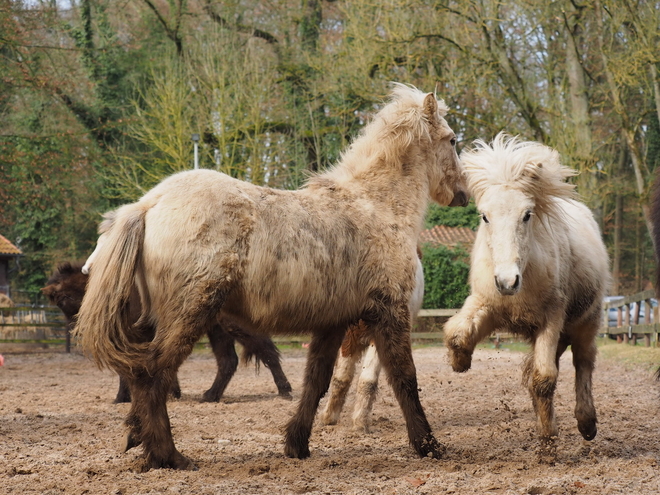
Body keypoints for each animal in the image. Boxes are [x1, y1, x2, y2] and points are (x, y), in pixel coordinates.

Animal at [41, 262, 288, 404]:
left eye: (64, 298)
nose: (78, 327)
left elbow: (129, 368)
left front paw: (123, 397)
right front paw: (172, 392)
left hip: (237, 327)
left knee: (266, 351)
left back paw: (285, 390)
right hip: (217, 331)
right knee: (228, 361)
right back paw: (210, 396)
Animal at [440, 134, 612, 464]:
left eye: (527, 214)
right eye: (484, 216)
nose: (507, 281)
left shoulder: (552, 318)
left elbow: (544, 379)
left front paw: (547, 445)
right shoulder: (487, 304)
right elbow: (456, 332)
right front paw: (460, 361)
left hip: (586, 322)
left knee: (583, 362)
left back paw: (587, 423)